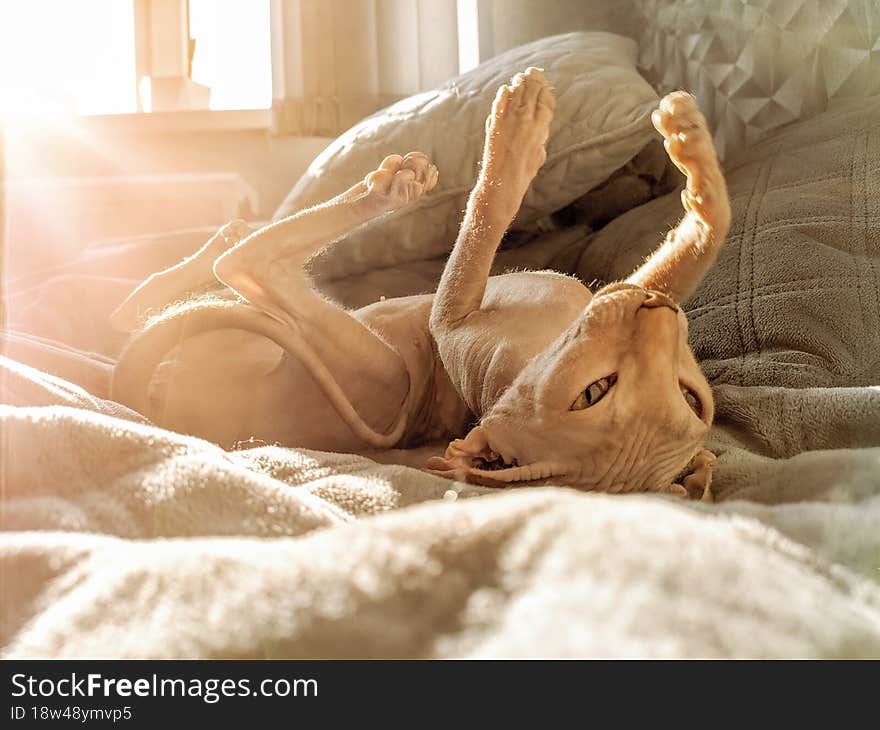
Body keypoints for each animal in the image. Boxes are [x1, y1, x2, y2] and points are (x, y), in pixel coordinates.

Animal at [111, 68, 728, 498]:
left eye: (592, 394)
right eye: (694, 400)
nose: (656, 312)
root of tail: (144, 398)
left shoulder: (452, 319)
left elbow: (484, 213)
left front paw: (517, 134)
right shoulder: (618, 290)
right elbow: (702, 238)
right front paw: (693, 147)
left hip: (374, 367)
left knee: (245, 265)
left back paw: (386, 189)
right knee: (175, 286)